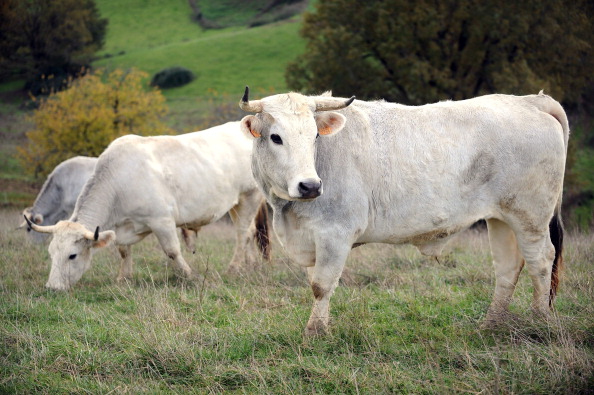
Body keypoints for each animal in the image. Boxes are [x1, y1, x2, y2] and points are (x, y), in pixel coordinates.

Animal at [26, 122, 268, 292]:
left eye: (72, 255)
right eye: (51, 253)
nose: (53, 287)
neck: (119, 181)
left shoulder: (162, 220)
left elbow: (172, 251)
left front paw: (191, 276)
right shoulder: (123, 226)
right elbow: (123, 251)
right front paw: (123, 278)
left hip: (250, 194)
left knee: (242, 233)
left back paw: (234, 268)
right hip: (236, 203)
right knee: (250, 232)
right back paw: (251, 266)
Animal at [238, 87, 568, 338]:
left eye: (315, 136)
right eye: (276, 137)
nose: (309, 185)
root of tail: (531, 100)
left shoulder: (336, 234)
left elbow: (322, 286)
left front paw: (314, 333)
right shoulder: (311, 238)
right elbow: (314, 283)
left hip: (530, 217)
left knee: (541, 261)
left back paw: (540, 321)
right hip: (501, 218)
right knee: (508, 267)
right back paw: (491, 324)